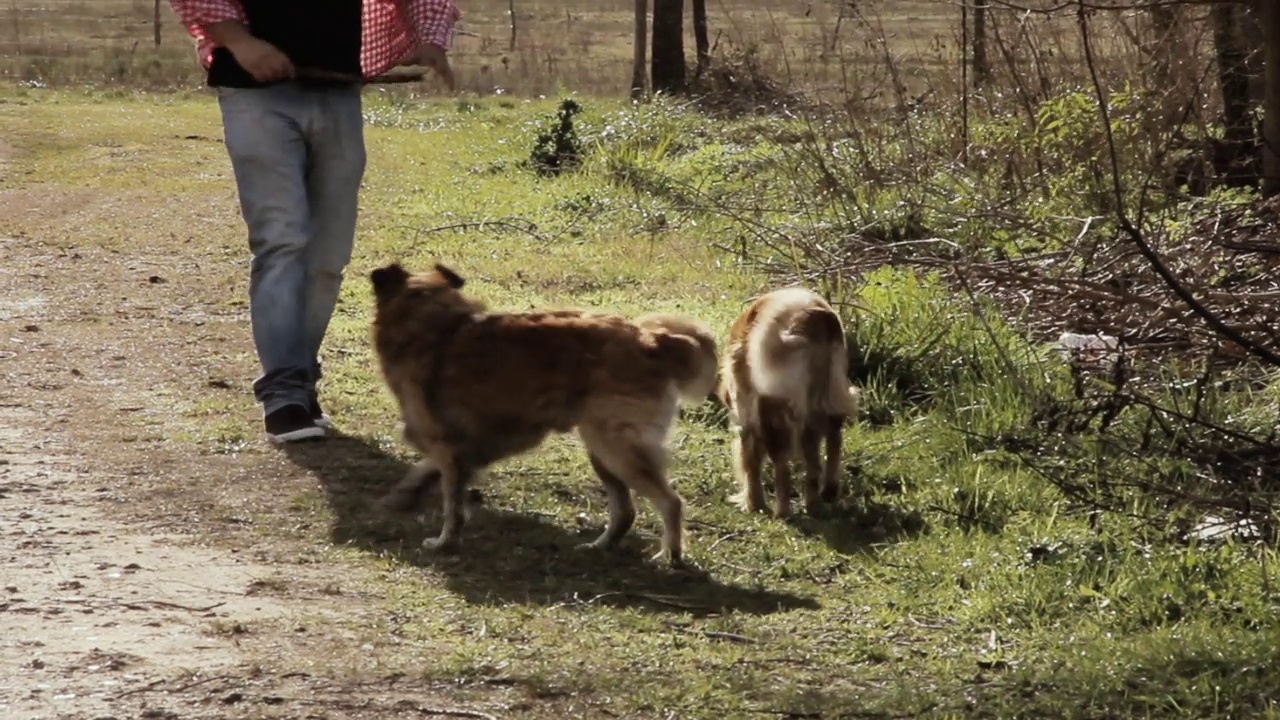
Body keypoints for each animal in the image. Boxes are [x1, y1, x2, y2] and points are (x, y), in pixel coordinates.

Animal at [368, 258, 721, 566]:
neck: (432, 323)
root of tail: (654, 340)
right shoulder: (463, 448)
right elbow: (429, 473)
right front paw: (406, 495)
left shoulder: (447, 447)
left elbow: (451, 504)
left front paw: (443, 541)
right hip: (602, 450)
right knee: (625, 511)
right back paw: (600, 546)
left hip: (616, 447)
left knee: (670, 502)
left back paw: (670, 555)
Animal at [716, 285, 865, 515]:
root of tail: (814, 316)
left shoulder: (747, 411)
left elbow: (750, 461)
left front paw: (753, 503)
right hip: (828, 397)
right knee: (827, 446)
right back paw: (821, 498)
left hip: (776, 407)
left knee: (781, 464)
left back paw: (783, 512)